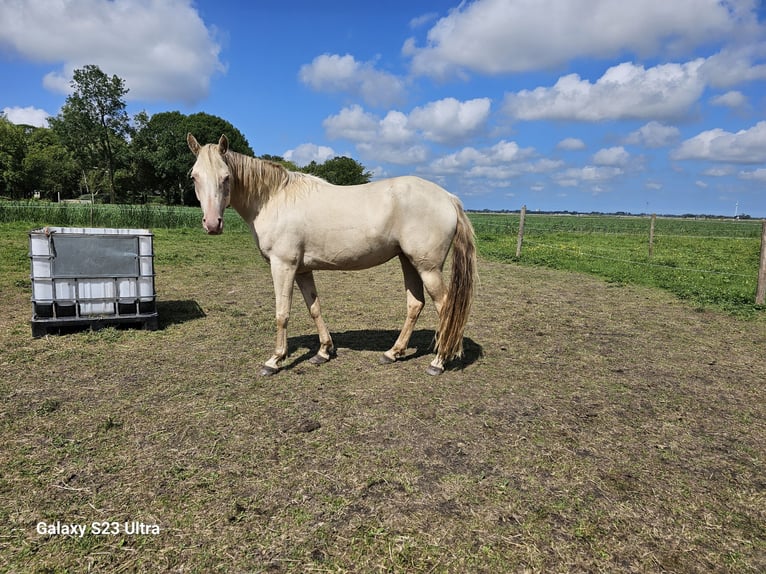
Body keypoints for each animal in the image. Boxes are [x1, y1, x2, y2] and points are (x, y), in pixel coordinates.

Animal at [189, 135, 476, 378]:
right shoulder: (302, 270)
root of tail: (448, 198)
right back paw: (393, 353)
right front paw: (324, 352)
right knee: (415, 305)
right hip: (409, 261)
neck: (274, 199)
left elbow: (282, 313)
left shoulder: (283, 266)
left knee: (445, 307)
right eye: (194, 177)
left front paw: (274, 360)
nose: (212, 224)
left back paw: (439, 361)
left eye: (226, 177)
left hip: (428, 268)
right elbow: (314, 308)